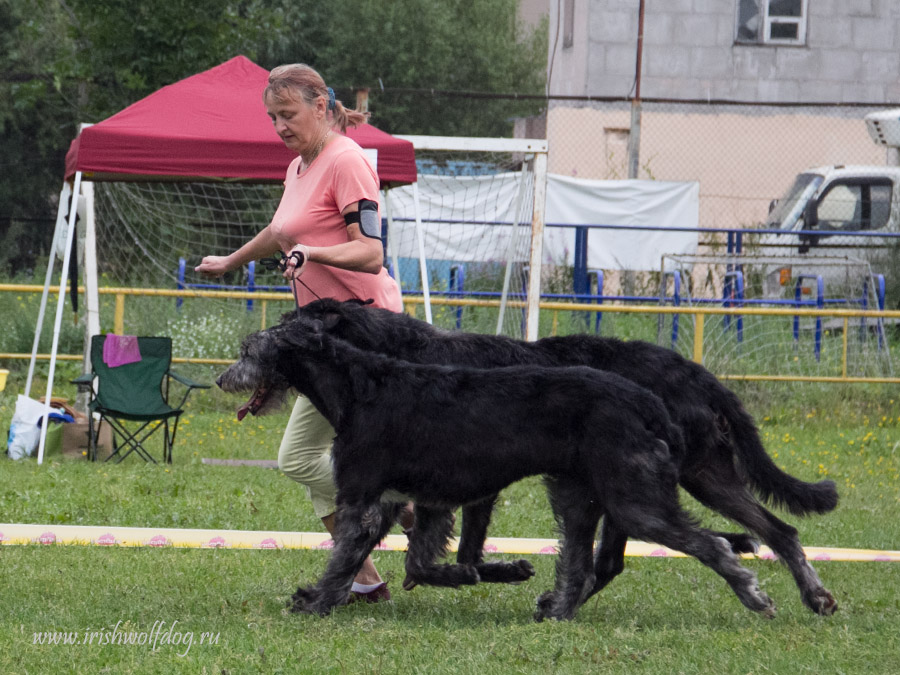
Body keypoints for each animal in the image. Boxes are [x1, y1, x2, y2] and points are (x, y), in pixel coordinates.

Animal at [284, 302, 840, 616]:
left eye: (291, 318)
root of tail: (697, 373)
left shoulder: (467, 481)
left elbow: (460, 551)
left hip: (643, 479)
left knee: (615, 559)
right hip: (703, 475)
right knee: (778, 530)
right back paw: (813, 594)